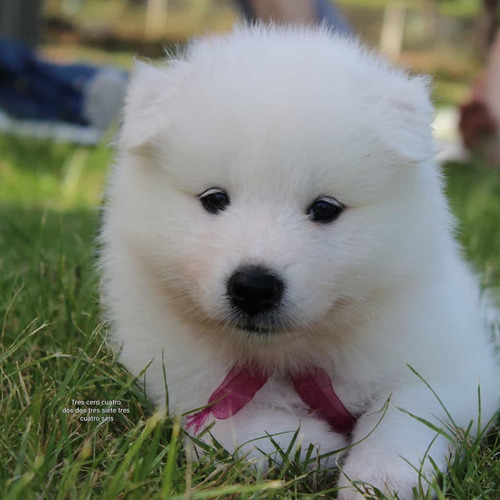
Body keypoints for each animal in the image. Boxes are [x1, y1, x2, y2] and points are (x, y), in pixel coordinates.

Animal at [99, 24, 498, 500]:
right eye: (214, 199)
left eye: (324, 209)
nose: (253, 287)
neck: (289, 355)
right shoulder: (179, 380)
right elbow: (232, 428)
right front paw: (316, 446)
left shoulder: (453, 364)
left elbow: (405, 413)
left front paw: (380, 477)